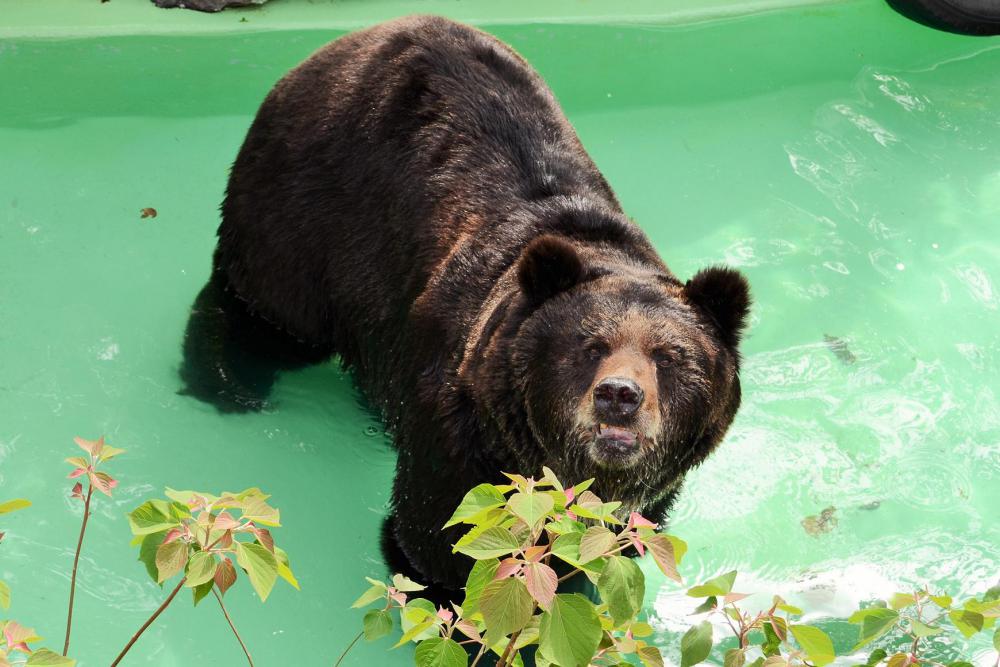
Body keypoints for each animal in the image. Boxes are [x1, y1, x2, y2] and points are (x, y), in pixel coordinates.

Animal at [180, 14, 748, 588]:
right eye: (588, 347)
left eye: (669, 357)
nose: (619, 396)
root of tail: (350, 40)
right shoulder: (460, 433)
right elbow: (442, 542)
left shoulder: (644, 499)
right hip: (305, 205)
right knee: (265, 313)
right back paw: (229, 382)